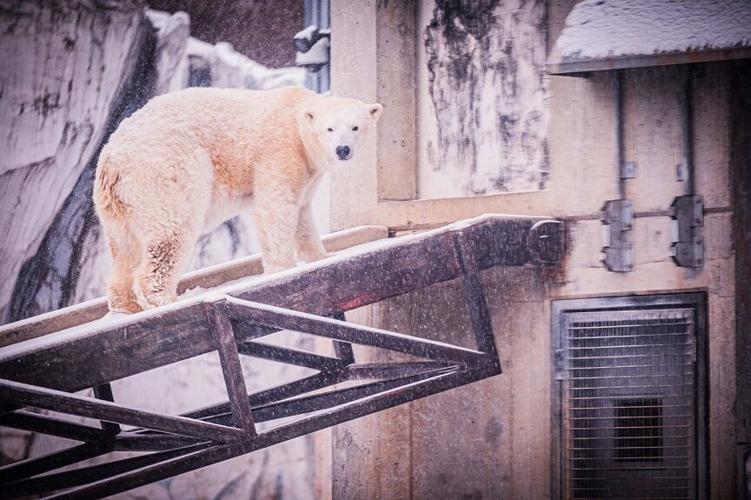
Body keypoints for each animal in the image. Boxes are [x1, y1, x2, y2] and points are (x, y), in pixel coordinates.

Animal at [93, 85, 383, 313]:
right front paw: (283, 267)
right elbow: (276, 207)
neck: (295, 115)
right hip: (163, 174)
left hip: (116, 204)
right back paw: (165, 300)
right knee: (171, 233)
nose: (342, 149)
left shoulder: (307, 170)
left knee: (125, 247)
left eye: (355, 127)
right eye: (329, 128)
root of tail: (111, 158)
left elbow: (302, 212)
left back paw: (125, 304)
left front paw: (319, 255)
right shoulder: (279, 151)